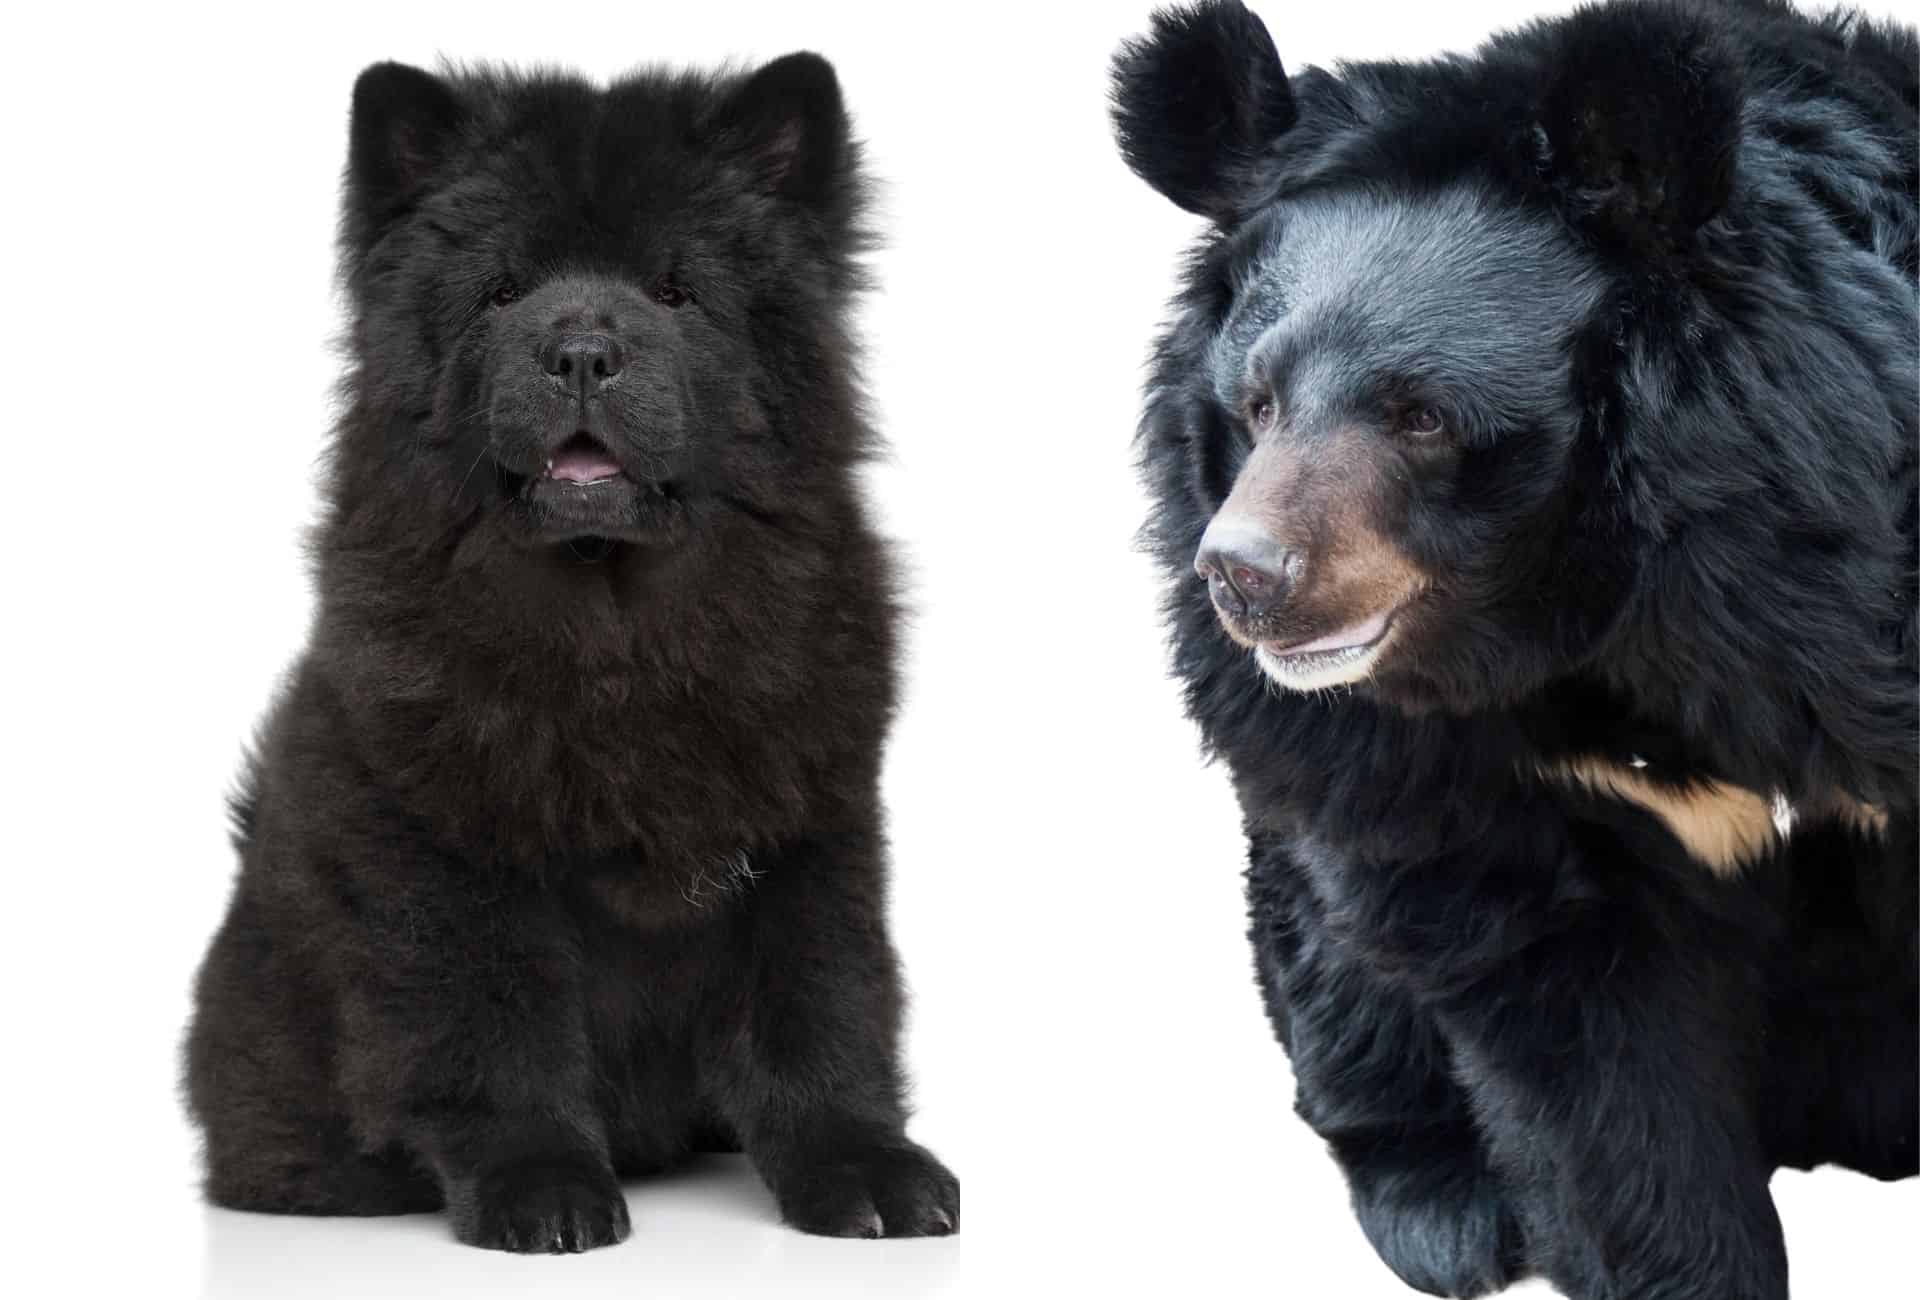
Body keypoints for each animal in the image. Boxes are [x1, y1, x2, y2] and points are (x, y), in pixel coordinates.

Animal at [183, 54, 957, 1252]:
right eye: (502, 291)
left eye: (678, 291)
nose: (584, 350)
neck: (615, 628)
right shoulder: (453, 844)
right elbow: (497, 1028)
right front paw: (542, 1192)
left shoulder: (808, 826)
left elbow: (823, 1006)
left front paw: (869, 1173)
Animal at [1111, 1, 1915, 1296]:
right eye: (1260, 401)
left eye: (1421, 415)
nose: (1242, 575)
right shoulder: (1479, 779)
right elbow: (1587, 1055)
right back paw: (1449, 1214)